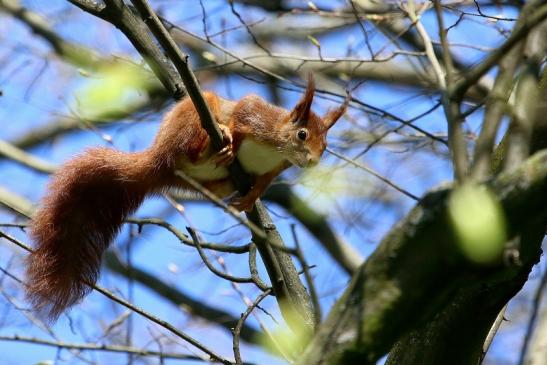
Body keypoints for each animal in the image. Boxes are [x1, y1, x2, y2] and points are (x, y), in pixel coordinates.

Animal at [25, 76, 346, 318]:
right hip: (190, 118)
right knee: (194, 139)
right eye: (303, 134)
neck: (275, 149)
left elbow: (263, 184)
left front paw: (250, 198)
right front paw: (231, 135)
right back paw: (212, 142)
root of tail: (157, 161)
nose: (314, 161)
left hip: (197, 180)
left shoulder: (274, 169)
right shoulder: (255, 115)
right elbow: (241, 113)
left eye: (326, 145)